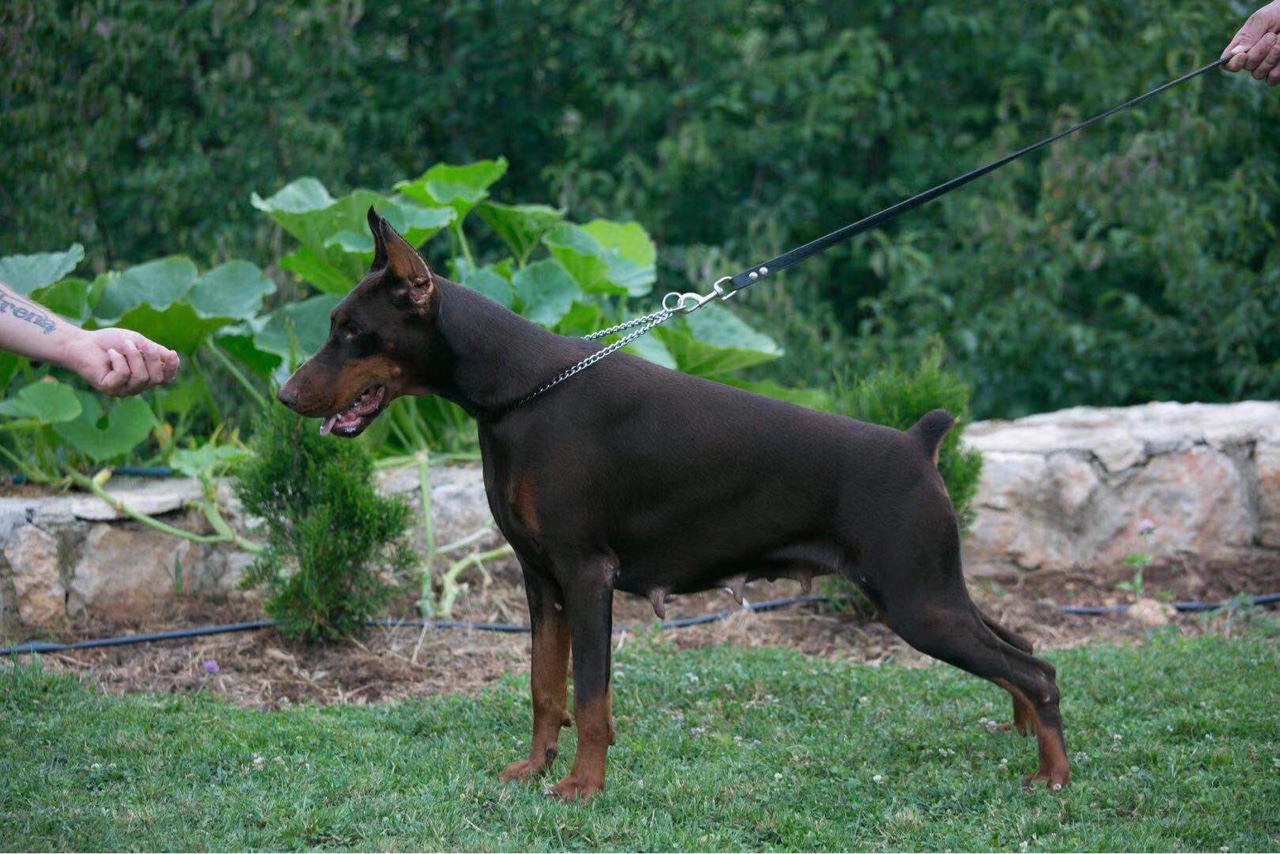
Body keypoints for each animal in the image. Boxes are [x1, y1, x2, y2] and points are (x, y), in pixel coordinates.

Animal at [277, 209, 1070, 804]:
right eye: (333, 323)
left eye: (353, 332)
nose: (285, 395)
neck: (518, 393)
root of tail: (918, 441)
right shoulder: (540, 578)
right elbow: (544, 686)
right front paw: (532, 770)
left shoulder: (586, 572)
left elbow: (590, 697)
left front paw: (582, 787)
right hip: (930, 588)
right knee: (1023, 647)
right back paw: (1025, 736)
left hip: (913, 597)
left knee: (1036, 670)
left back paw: (1055, 776)